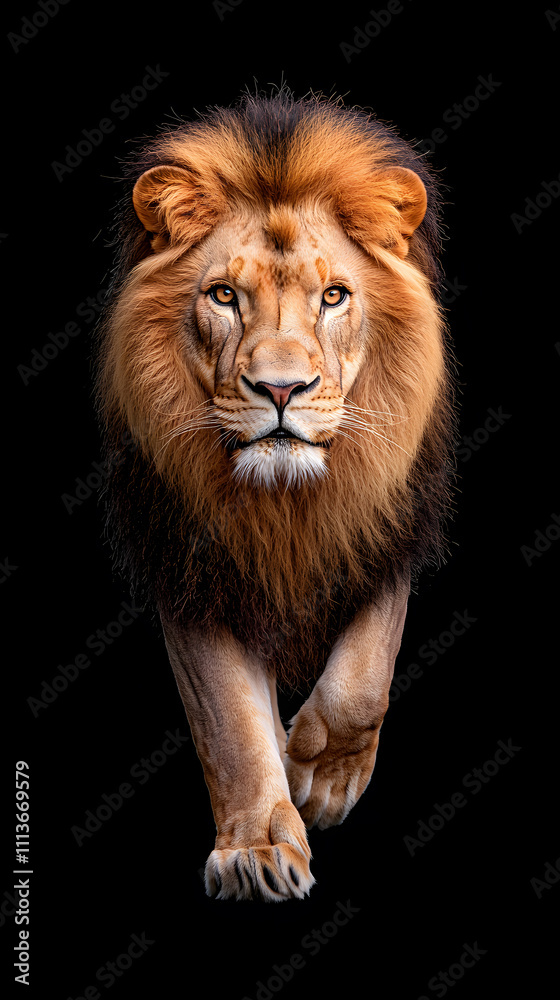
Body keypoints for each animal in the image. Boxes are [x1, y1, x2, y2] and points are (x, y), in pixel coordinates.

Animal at [94, 87, 456, 902]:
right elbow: (229, 719)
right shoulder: (190, 565)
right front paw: (258, 845)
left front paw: (318, 777)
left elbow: (363, 678)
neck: (286, 505)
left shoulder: (386, 526)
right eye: (225, 296)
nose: (282, 388)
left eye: (334, 296)